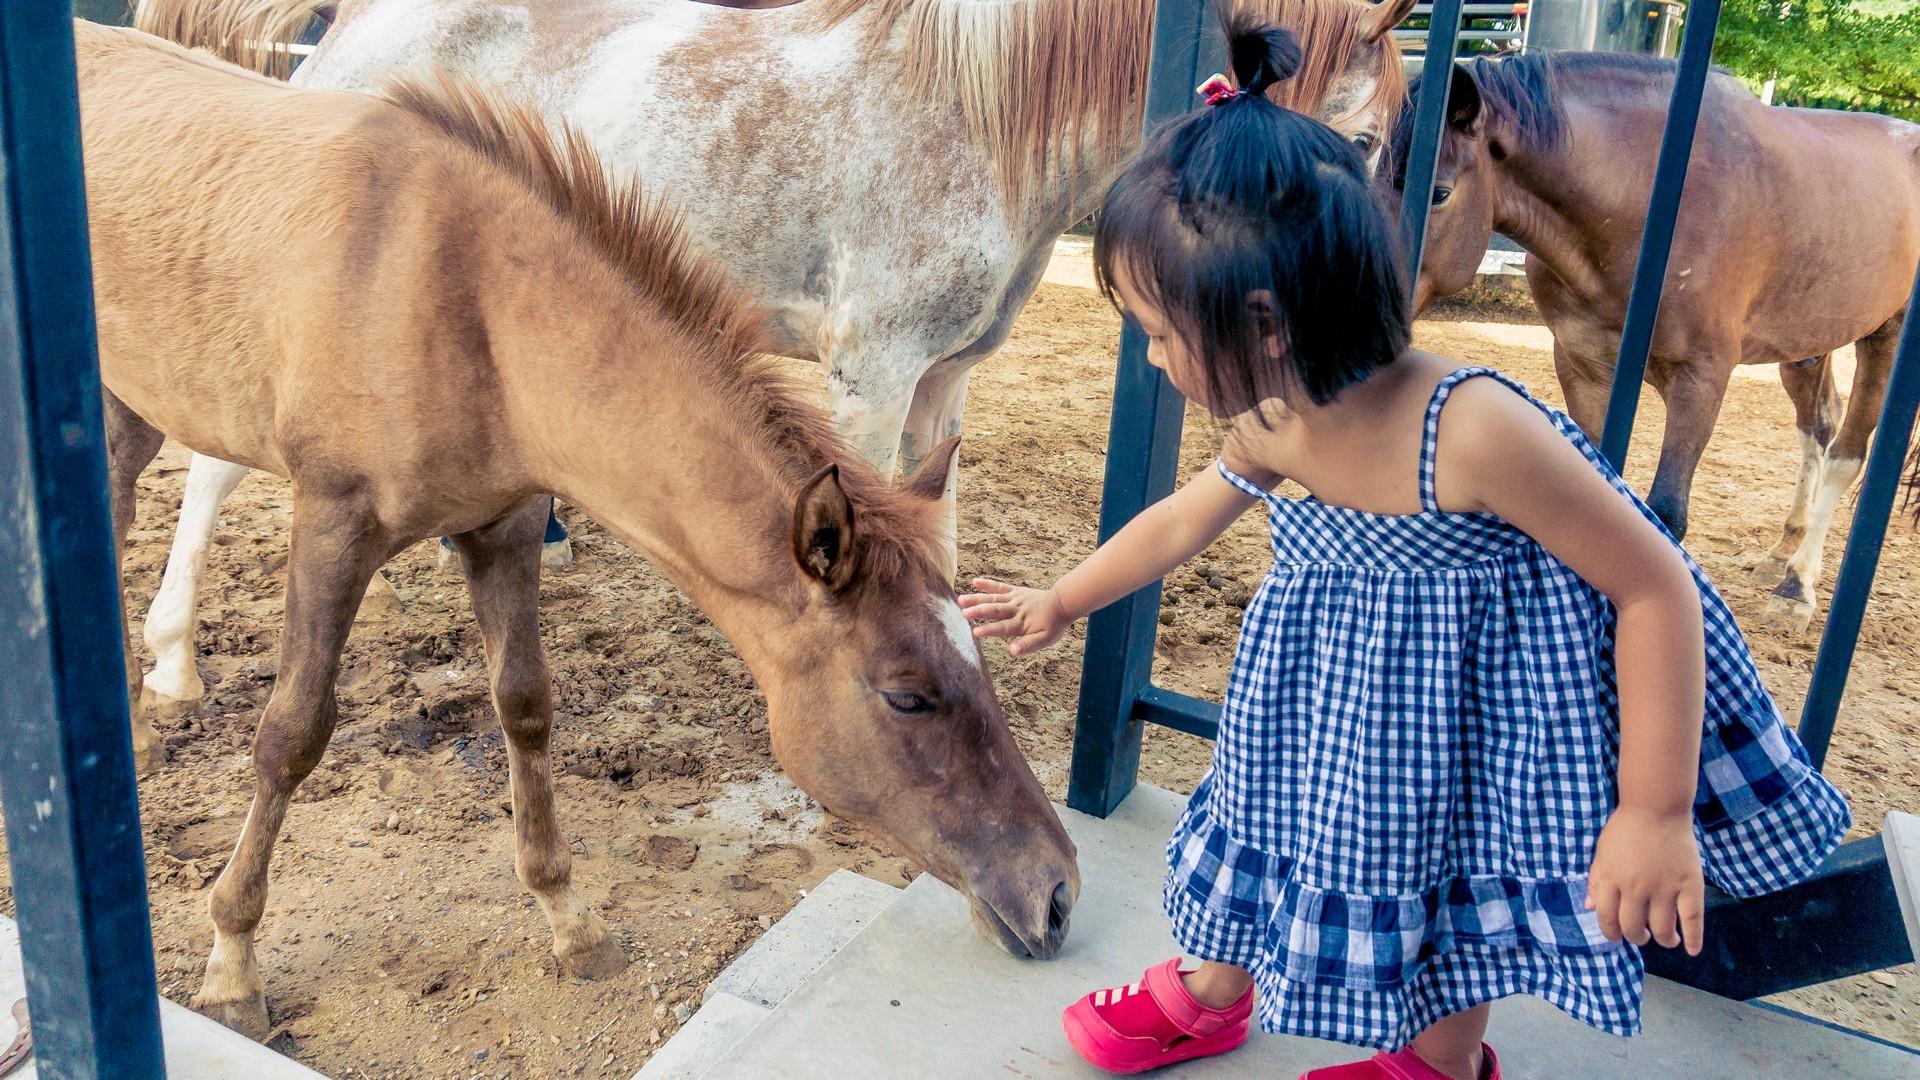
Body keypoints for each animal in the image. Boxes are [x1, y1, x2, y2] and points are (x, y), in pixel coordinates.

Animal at [1397, 54, 1920, 630]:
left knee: (1848, 452)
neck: (1642, 206)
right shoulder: (1582, 366)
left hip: (1886, 336)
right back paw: (1781, 553)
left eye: (1438, 193)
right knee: (1818, 427)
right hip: (1808, 343)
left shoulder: (1701, 380)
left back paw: (1798, 584)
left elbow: (1666, 512)